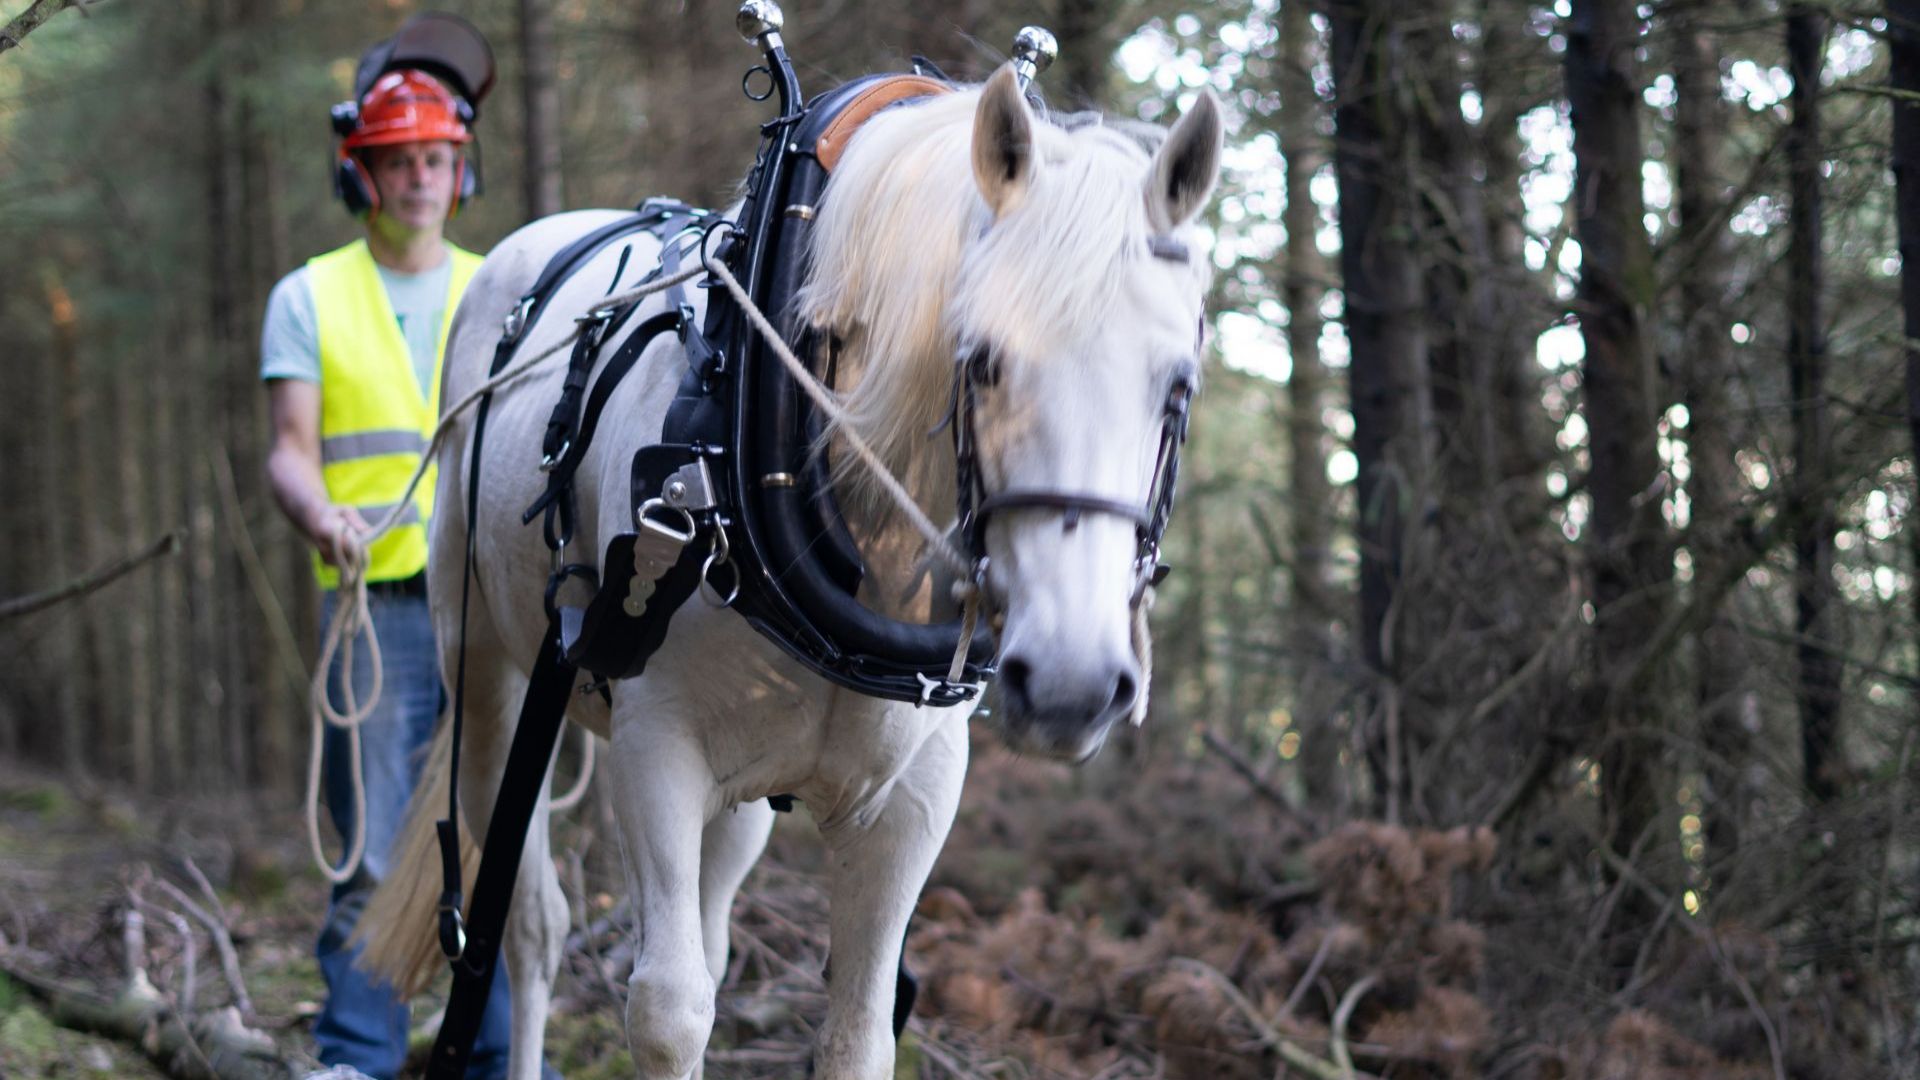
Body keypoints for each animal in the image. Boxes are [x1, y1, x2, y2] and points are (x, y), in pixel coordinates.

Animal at [356, 64, 1222, 1080]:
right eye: (983, 361)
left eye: (1179, 384)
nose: (1072, 683)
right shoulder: (655, 749)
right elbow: (668, 1010)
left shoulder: (913, 799)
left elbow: (855, 1030)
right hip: (490, 678)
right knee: (525, 927)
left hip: (740, 791)